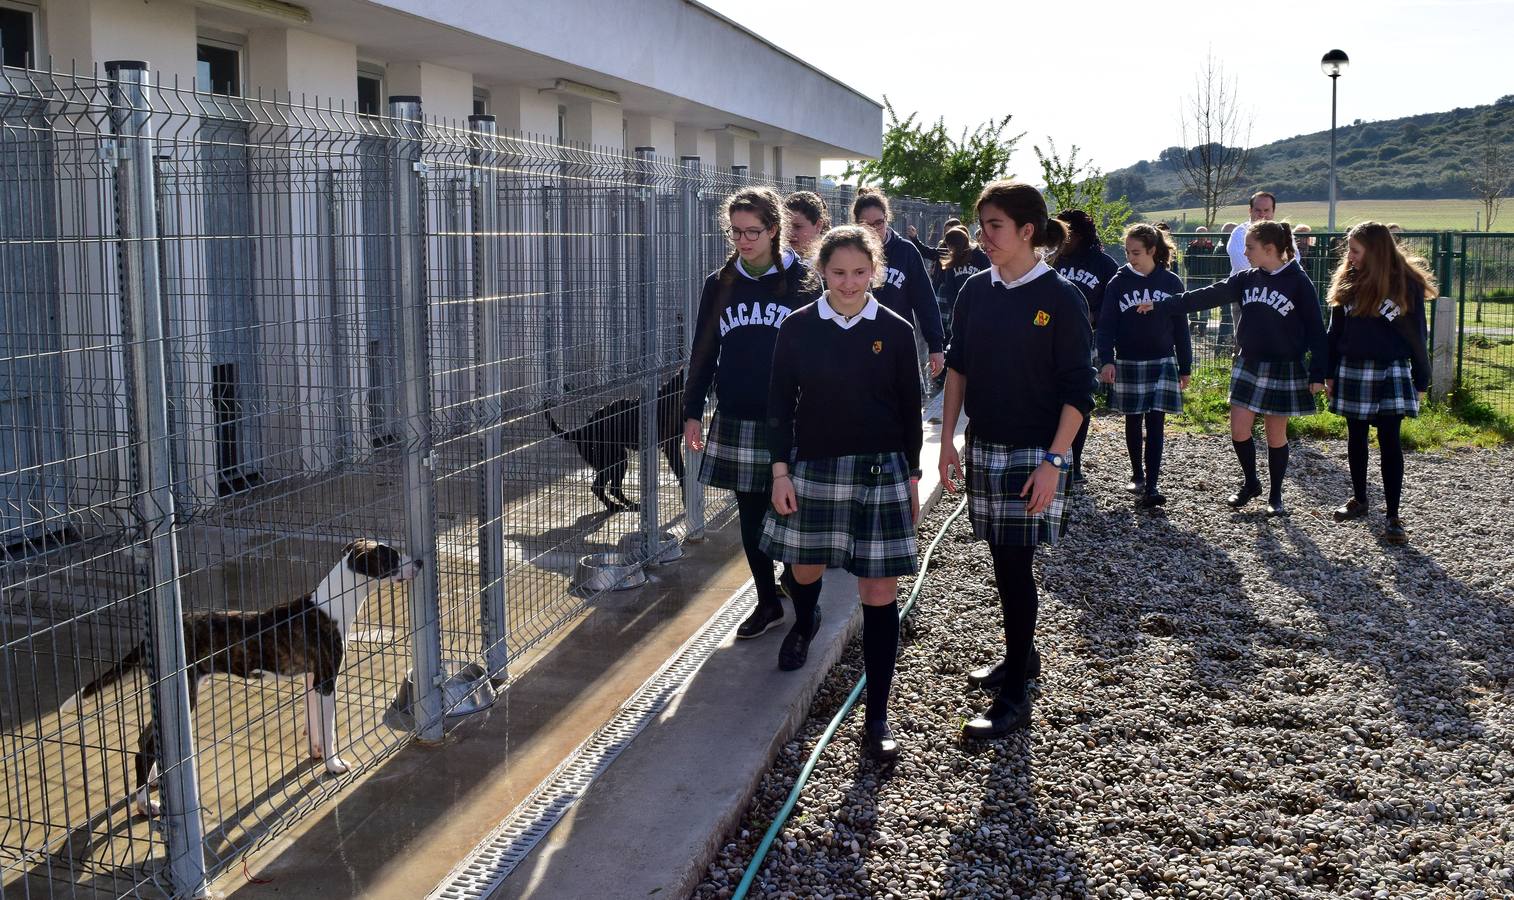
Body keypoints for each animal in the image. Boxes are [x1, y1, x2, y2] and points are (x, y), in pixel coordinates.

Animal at [60, 536, 420, 818]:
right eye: (391, 557)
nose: (418, 561)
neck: (331, 604)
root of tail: (152, 639)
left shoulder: (312, 681)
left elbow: (316, 724)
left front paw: (317, 754)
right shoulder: (327, 680)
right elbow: (330, 729)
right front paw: (333, 764)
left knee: (146, 741)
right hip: (185, 690)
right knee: (145, 746)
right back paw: (145, 804)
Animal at [545, 369, 687, 512]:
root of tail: (582, 430)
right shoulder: (671, 446)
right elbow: (683, 473)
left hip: (614, 461)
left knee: (610, 488)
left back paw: (627, 504)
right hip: (613, 459)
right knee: (602, 487)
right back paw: (618, 506)